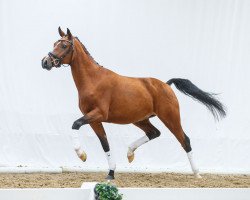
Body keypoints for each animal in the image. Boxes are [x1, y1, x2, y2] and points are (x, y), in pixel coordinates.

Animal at [41, 27, 227, 180]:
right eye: (54, 43)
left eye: (64, 45)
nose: (45, 62)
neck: (93, 80)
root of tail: (166, 85)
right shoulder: (94, 120)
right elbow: (105, 144)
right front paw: (111, 173)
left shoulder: (98, 114)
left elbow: (75, 124)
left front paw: (81, 155)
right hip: (140, 119)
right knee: (154, 133)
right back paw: (130, 152)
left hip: (170, 118)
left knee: (184, 140)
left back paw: (197, 174)